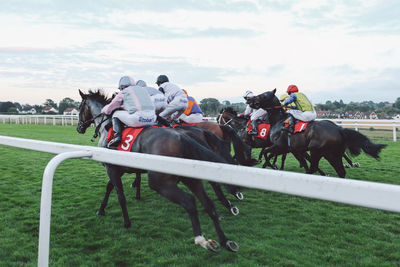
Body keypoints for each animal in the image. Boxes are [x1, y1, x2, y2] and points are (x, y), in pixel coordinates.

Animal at [77, 90, 239, 253]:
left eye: (80, 108)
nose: (79, 128)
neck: (106, 127)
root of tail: (182, 137)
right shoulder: (119, 168)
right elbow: (110, 187)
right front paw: (102, 209)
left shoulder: (112, 167)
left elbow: (118, 194)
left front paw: (126, 222)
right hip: (190, 175)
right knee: (208, 201)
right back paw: (226, 238)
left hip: (160, 182)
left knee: (191, 200)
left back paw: (203, 237)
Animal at [248, 89, 386, 179]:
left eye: (264, 95)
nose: (251, 101)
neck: (279, 121)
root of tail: (338, 129)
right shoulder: (292, 149)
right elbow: (269, 154)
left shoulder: (280, 146)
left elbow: (266, 154)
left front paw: (272, 166)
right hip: (332, 154)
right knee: (340, 172)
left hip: (317, 151)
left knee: (313, 168)